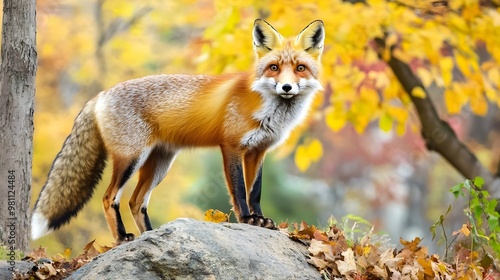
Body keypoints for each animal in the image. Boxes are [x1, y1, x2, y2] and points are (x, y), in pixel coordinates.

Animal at [33, 19, 326, 243]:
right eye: (274, 68)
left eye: (300, 68)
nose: (286, 87)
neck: (267, 107)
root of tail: (99, 95)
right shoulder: (231, 146)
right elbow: (240, 191)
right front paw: (246, 219)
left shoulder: (258, 151)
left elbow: (255, 191)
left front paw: (260, 219)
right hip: (131, 158)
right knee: (109, 198)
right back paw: (122, 238)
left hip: (160, 164)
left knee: (135, 202)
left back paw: (151, 237)